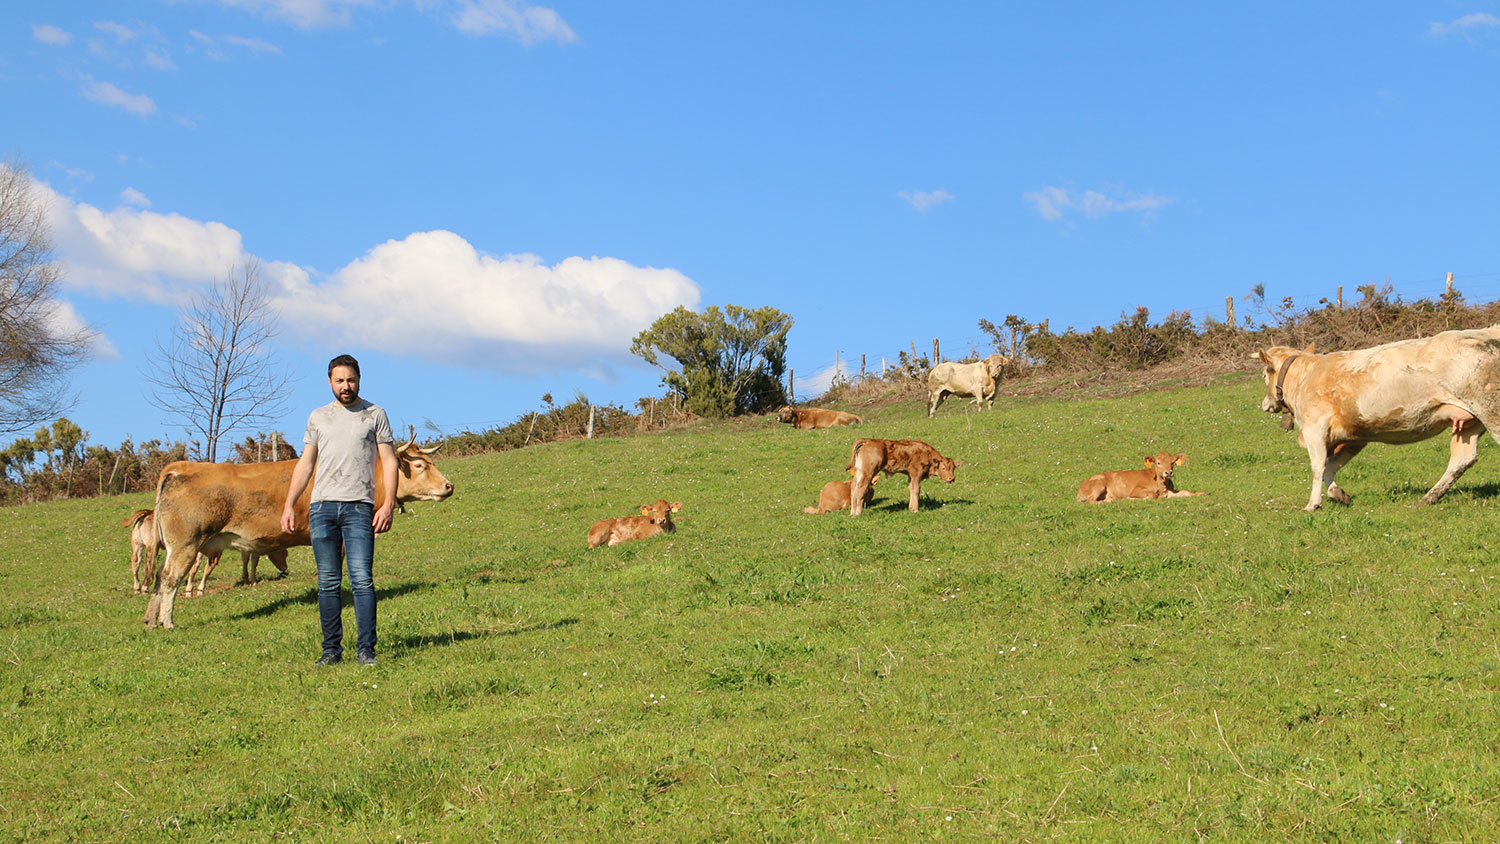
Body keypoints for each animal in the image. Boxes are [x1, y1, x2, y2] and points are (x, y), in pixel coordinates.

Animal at [144, 431, 453, 629]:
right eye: (419, 465)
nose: (448, 486)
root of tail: (181, 469)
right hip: (185, 545)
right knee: (170, 579)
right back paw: (168, 622)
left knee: (160, 578)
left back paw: (151, 620)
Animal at [1248, 326, 1500, 512]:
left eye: (1263, 375)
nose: (1264, 405)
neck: (1305, 376)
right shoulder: (1355, 435)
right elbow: (1332, 465)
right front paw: (1338, 494)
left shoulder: (1314, 428)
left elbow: (1318, 465)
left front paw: (1313, 504)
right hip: (1469, 422)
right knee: (1461, 460)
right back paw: (1428, 498)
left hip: (1491, 411)